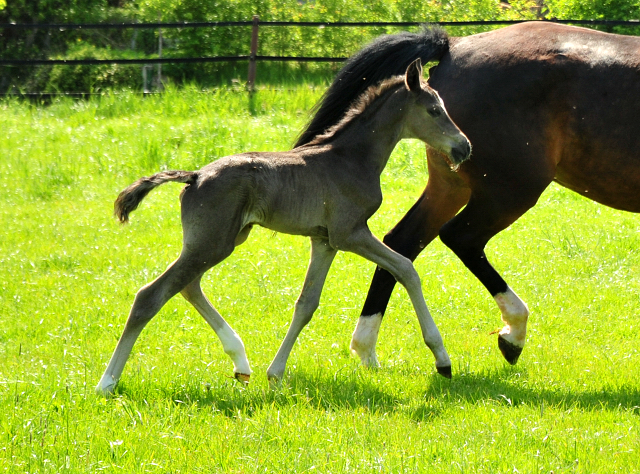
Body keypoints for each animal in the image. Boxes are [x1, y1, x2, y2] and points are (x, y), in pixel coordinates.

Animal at [97, 59, 472, 394]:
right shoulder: (350, 233)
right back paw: (107, 383)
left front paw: (275, 374)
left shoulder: (324, 241)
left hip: (220, 241)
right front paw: (442, 359)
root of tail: (196, 175)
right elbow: (407, 269)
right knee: (151, 295)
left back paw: (241, 362)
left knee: (188, 286)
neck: (350, 158)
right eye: (434, 110)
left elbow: (307, 304)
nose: (464, 147)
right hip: (212, 243)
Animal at [296, 22, 640, 368]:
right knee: (460, 237)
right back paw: (512, 332)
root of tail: (455, 46)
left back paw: (366, 347)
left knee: (401, 243)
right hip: (511, 191)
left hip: (451, 188)